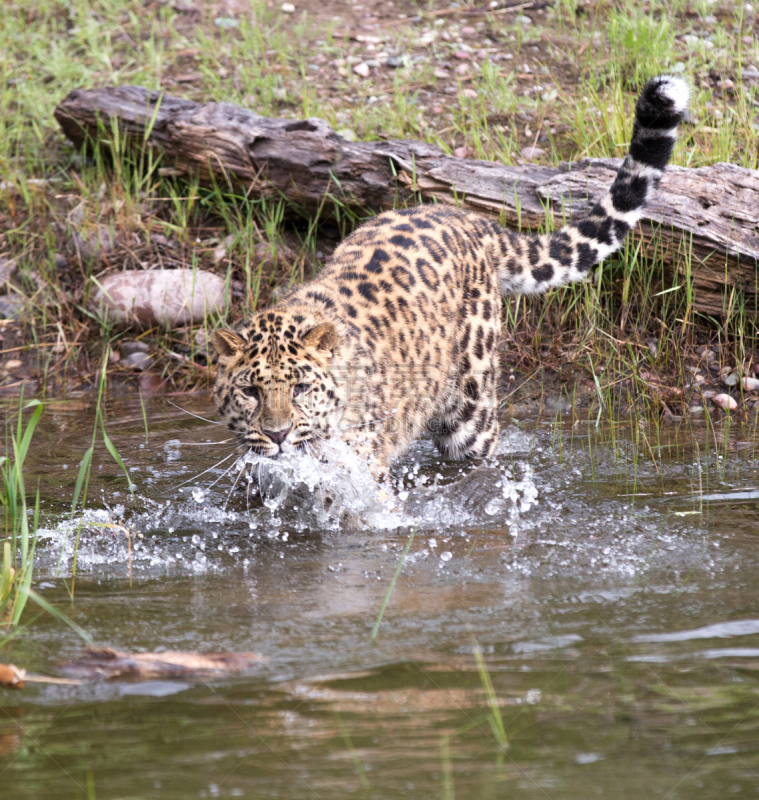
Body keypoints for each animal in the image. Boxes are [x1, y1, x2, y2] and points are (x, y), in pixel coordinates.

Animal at [212, 73, 688, 482]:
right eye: (250, 392)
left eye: (300, 388)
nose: (277, 434)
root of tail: (471, 219)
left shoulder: (362, 466)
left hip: (470, 407)